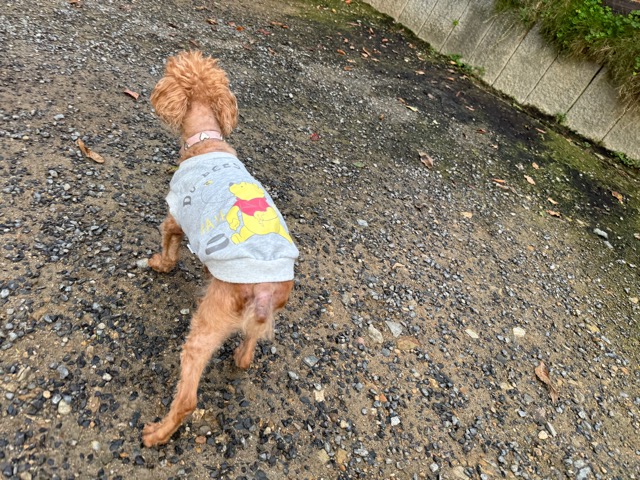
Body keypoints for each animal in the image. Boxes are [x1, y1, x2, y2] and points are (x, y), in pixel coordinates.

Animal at [142, 51, 298, 447]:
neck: (205, 138)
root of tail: (263, 289)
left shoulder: (175, 216)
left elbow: (168, 242)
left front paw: (160, 264)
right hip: (262, 316)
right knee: (248, 350)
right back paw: (241, 357)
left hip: (208, 323)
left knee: (188, 397)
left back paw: (157, 433)